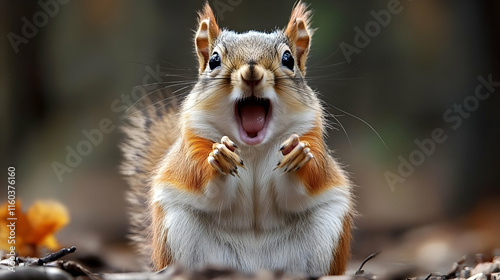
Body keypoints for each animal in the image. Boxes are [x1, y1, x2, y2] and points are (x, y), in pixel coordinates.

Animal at [121, 0, 354, 276]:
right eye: (213, 60)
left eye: (288, 58)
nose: (251, 72)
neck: (252, 149)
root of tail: (254, 268)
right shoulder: (192, 148)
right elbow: (204, 183)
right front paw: (220, 158)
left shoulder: (311, 138)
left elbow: (299, 190)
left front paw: (297, 156)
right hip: (178, 228)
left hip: (325, 232)